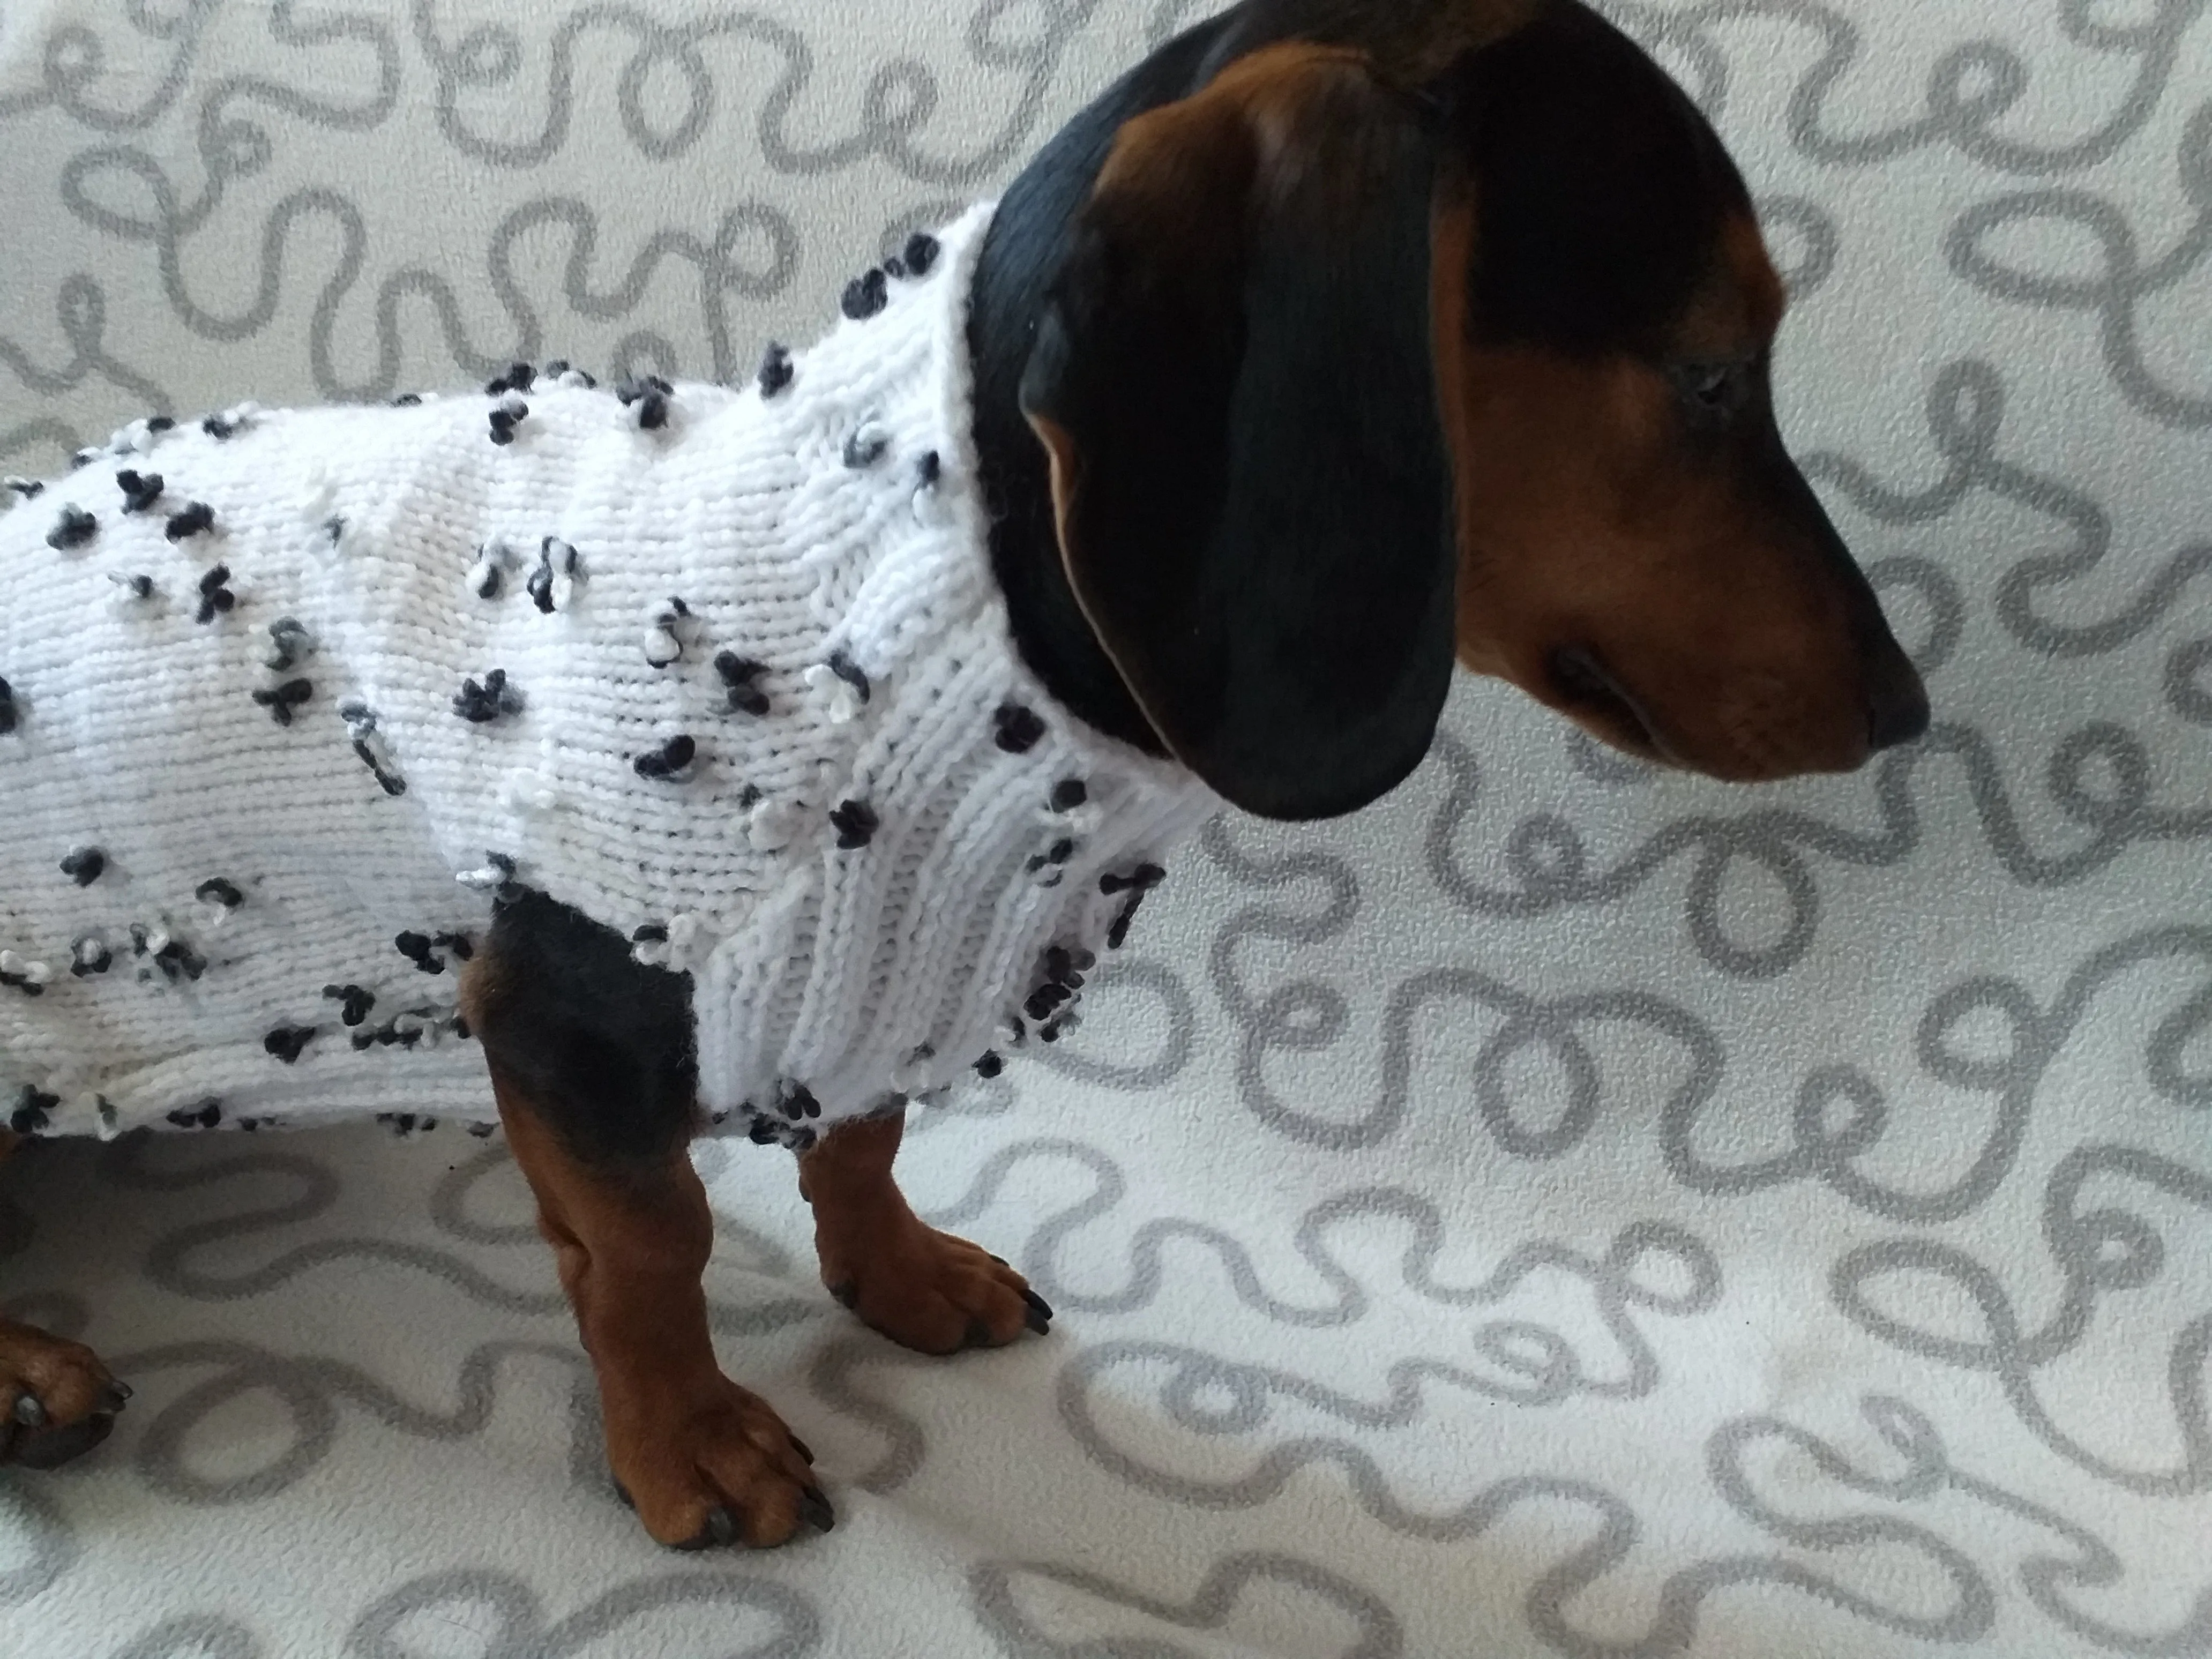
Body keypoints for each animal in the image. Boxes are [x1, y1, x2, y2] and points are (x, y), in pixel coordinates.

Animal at [0, 3, 1929, 1557]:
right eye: (1705, 368)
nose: (1908, 707)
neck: (912, 592)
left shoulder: (893, 972)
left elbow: (861, 1135)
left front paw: (900, 1274)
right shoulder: (568, 1008)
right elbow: (650, 1246)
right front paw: (688, 1439)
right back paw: (34, 1374)